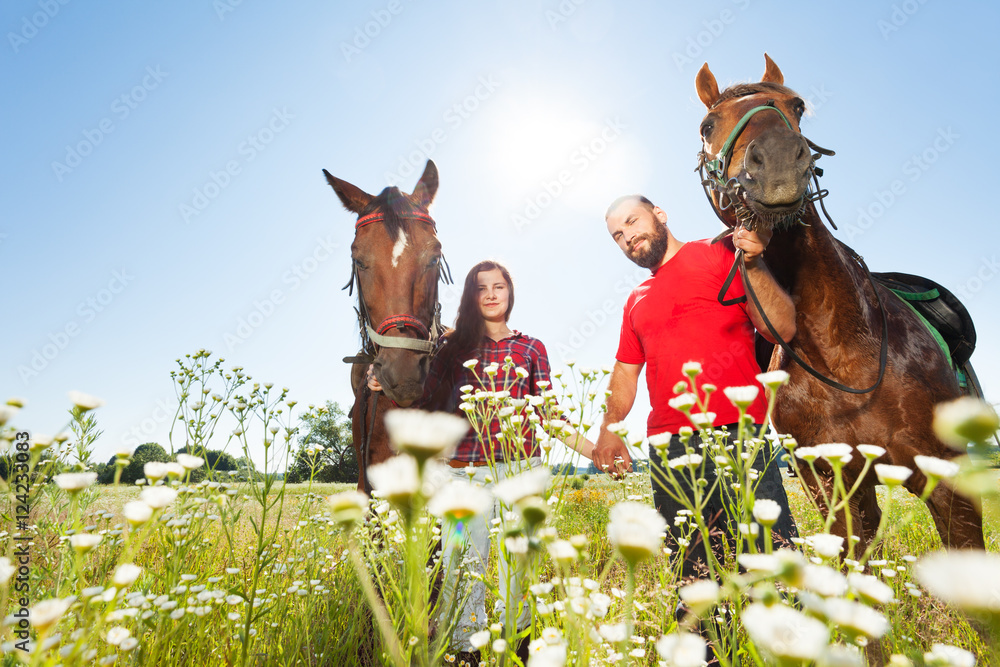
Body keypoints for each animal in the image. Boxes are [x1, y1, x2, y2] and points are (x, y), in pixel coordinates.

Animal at [696, 56, 984, 560]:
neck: (840, 349)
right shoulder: (831, 484)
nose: (776, 163)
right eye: (707, 125)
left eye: (797, 105)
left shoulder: (949, 480)